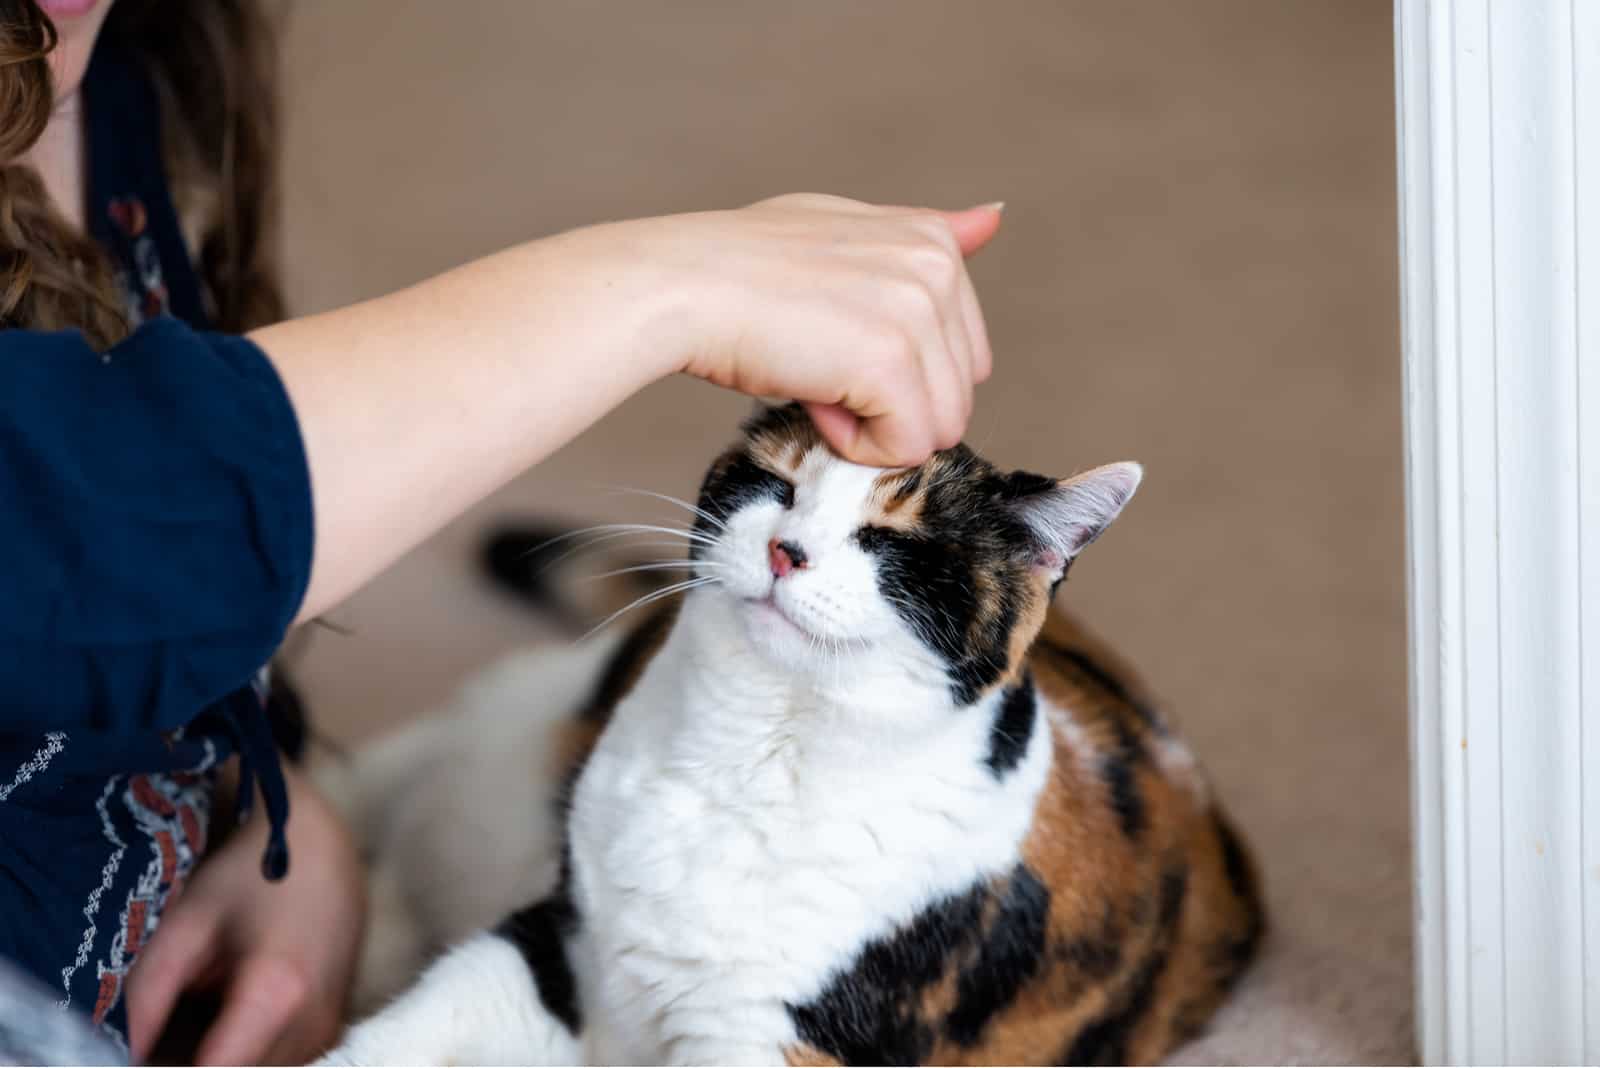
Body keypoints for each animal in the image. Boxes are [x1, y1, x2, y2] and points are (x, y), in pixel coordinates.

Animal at [321, 404, 1260, 1061]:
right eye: (778, 486)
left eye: (891, 540)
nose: (786, 551)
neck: (750, 755)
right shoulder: (557, 940)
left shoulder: (785, 1038)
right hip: (501, 762)